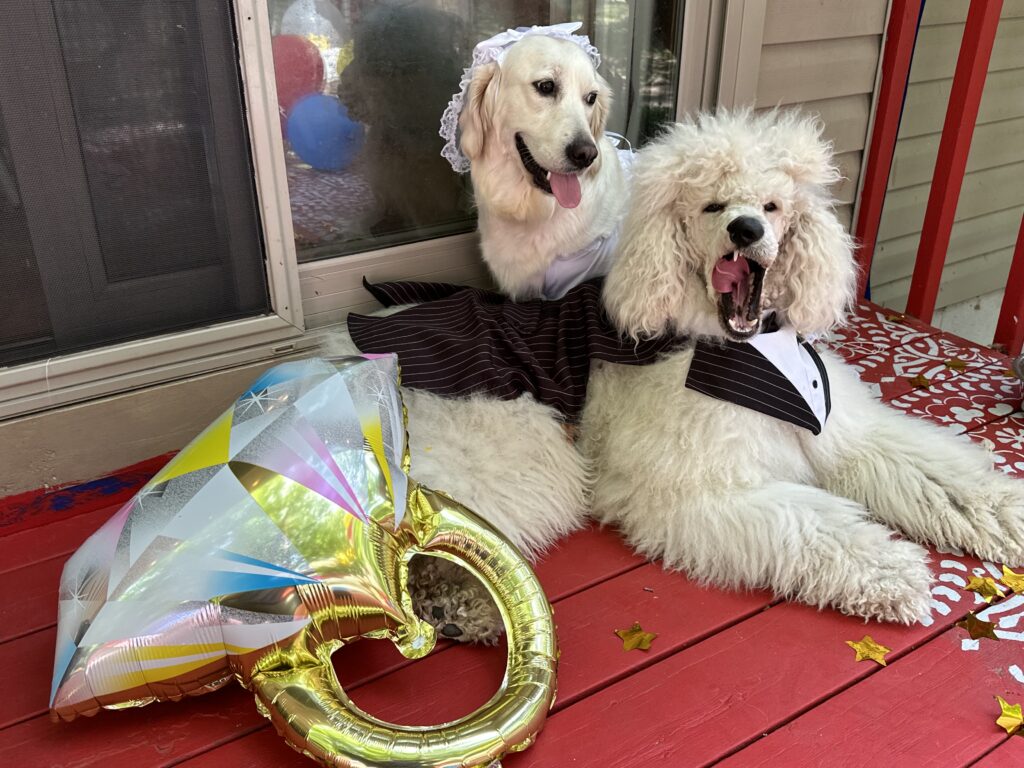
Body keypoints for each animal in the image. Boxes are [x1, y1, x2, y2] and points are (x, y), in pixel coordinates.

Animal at [580, 110, 1024, 623]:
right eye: (712, 206)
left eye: (772, 206)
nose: (746, 229)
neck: (751, 350)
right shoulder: (696, 489)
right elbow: (810, 522)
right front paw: (891, 572)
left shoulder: (846, 434)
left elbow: (937, 476)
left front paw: (1008, 512)